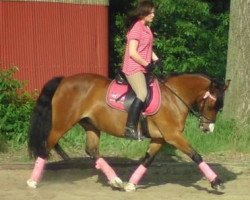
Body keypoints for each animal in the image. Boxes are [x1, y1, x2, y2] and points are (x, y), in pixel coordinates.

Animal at [26, 72, 229, 191]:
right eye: (214, 104)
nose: (208, 128)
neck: (174, 98)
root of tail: (64, 80)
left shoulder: (160, 138)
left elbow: (147, 159)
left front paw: (131, 183)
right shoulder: (173, 136)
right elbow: (195, 155)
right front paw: (216, 181)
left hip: (91, 125)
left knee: (92, 150)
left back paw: (116, 180)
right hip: (62, 124)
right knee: (45, 147)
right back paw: (33, 181)